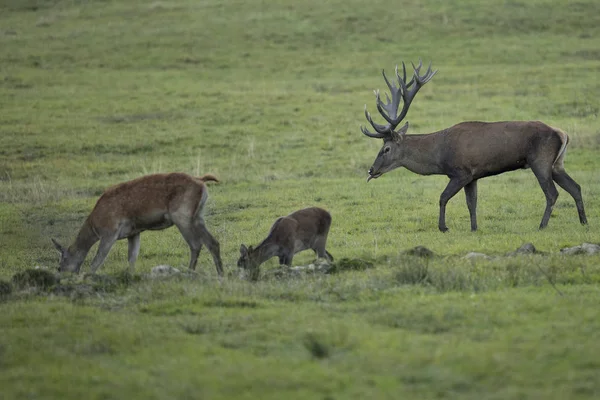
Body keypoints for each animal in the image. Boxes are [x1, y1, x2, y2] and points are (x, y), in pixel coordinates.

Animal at [51, 172, 224, 276]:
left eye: (61, 262)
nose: (61, 273)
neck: (95, 225)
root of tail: (201, 181)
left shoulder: (110, 232)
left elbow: (97, 260)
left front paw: (89, 276)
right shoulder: (134, 233)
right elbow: (132, 258)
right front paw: (131, 276)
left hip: (182, 215)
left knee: (196, 244)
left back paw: (189, 272)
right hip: (198, 216)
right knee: (212, 242)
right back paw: (220, 273)